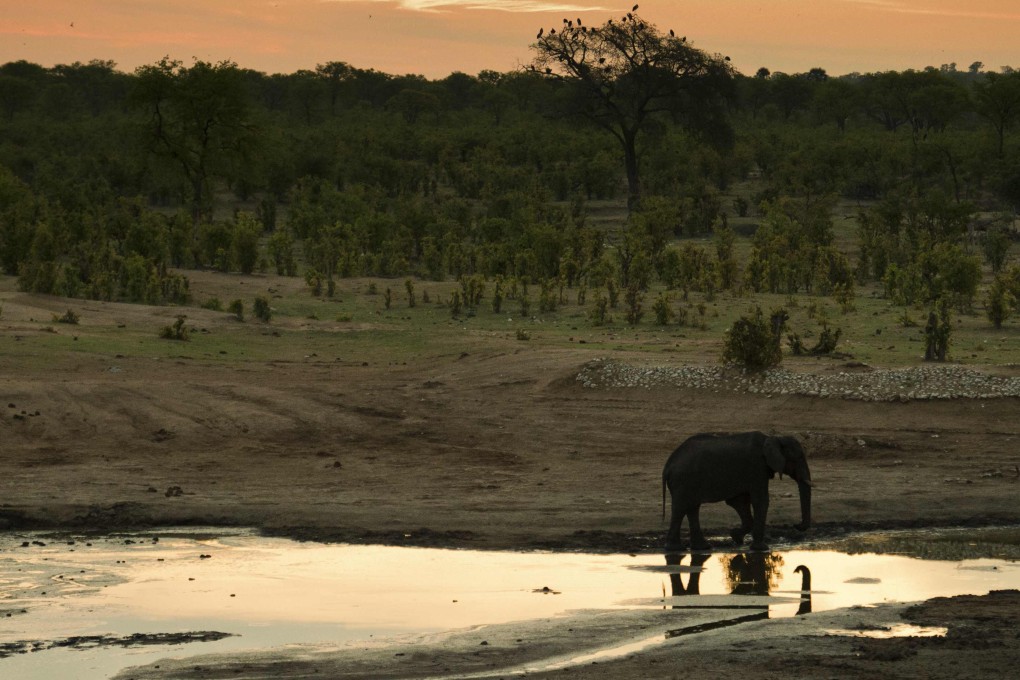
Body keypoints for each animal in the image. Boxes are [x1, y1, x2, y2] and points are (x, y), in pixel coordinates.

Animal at [662, 431, 812, 552]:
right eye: (799, 458)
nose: (796, 525)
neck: (773, 438)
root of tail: (668, 465)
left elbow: (738, 502)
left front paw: (735, 537)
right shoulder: (757, 467)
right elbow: (760, 500)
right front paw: (761, 549)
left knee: (692, 507)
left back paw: (702, 547)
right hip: (683, 480)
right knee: (681, 508)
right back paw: (676, 549)